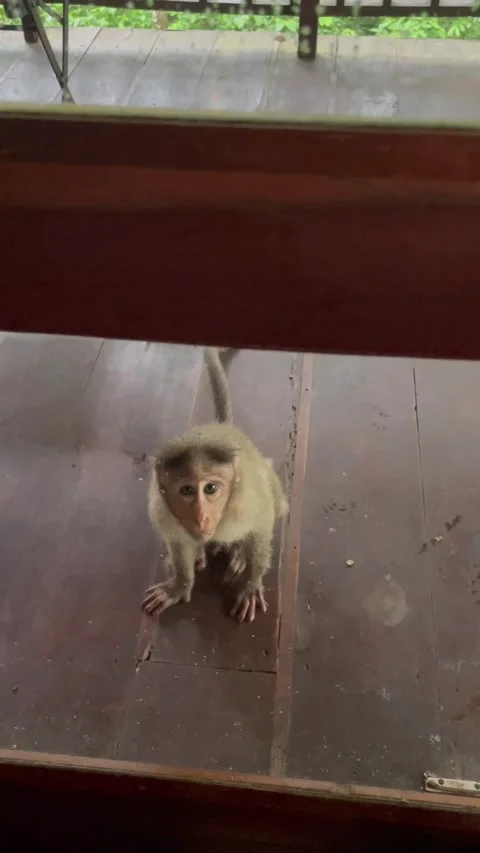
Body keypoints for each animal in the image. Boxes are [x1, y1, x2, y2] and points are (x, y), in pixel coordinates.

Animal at [142, 347, 288, 623]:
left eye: (211, 488)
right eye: (186, 490)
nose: (201, 517)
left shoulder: (247, 503)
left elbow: (262, 526)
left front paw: (251, 584)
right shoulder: (161, 509)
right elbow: (178, 543)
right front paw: (179, 585)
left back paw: (239, 552)